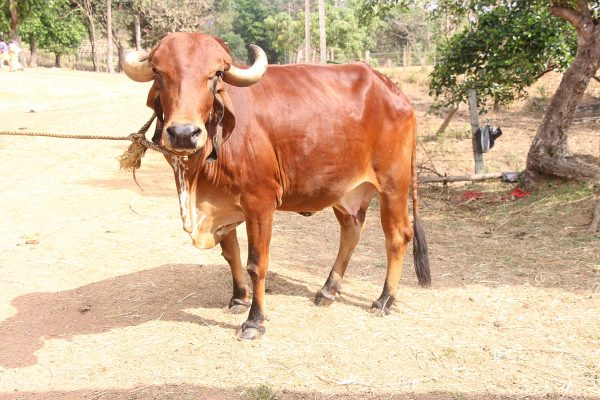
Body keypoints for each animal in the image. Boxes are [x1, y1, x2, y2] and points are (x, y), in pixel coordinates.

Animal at [123, 32, 432, 340]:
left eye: (216, 74)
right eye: (158, 72)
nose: (184, 134)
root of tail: (394, 91)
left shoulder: (260, 204)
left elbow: (256, 264)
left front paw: (254, 321)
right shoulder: (221, 205)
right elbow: (231, 254)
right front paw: (238, 298)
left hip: (393, 185)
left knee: (398, 236)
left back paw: (384, 299)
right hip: (346, 191)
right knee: (351, 230)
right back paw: (328, 290)